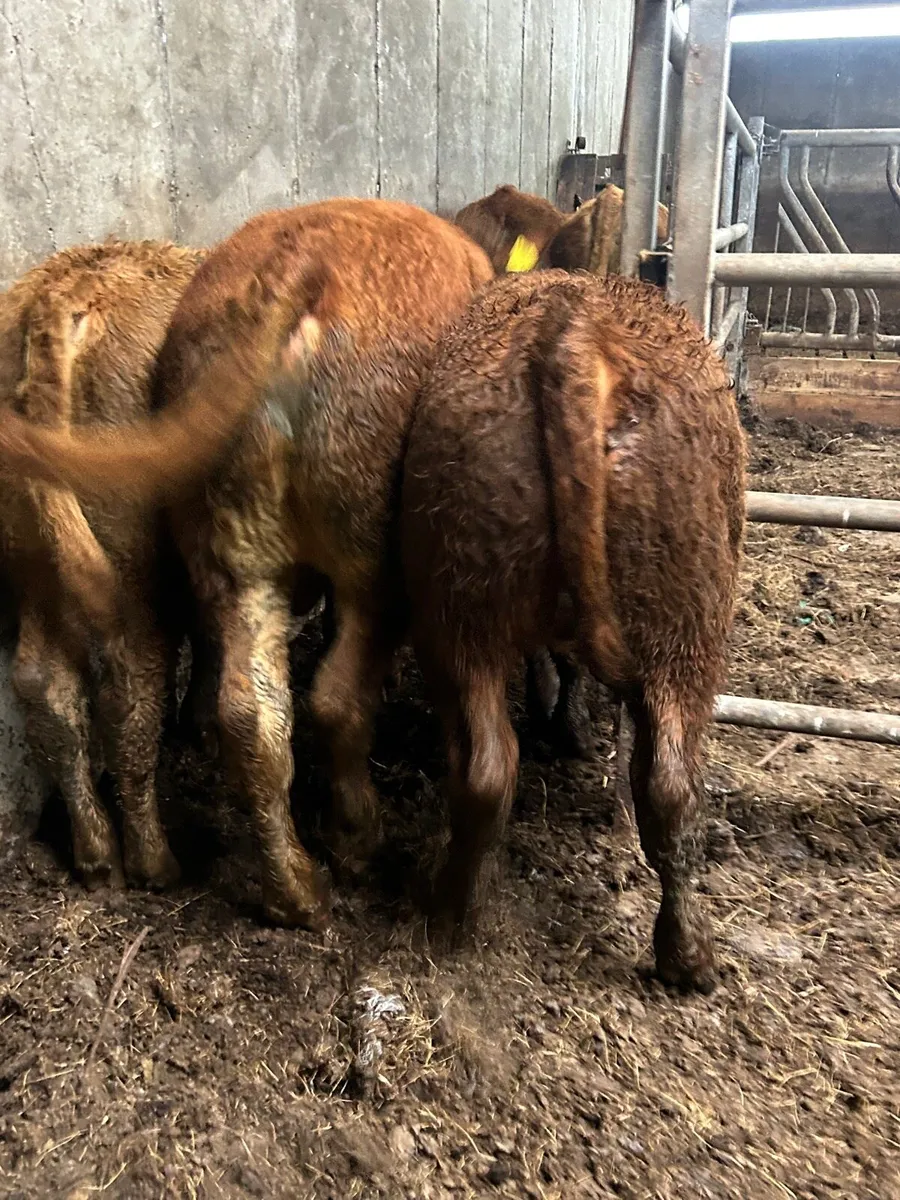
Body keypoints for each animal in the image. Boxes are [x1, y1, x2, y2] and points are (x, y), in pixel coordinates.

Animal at [401, 270, 746, 992]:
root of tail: (572, 333)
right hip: (689, 626)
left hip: (457, 606)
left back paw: (454, 910)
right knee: (672, 786)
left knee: (486, 768)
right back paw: (690, 956)